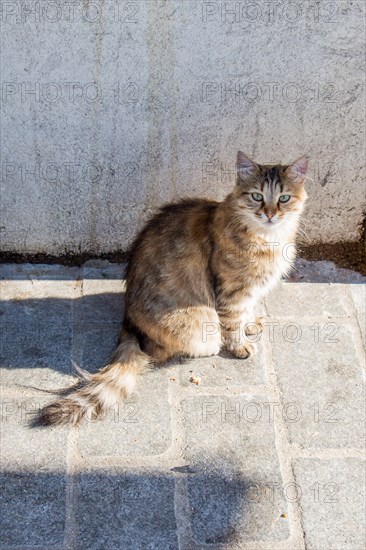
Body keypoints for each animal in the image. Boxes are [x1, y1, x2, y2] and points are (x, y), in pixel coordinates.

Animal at [35, 153, 308, 430]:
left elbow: (249, 310)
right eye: (256, 196)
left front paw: (251, 324)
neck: (270, 238)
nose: (270, 214)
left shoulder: (252, 289)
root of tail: (129, 320)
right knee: (163, 350)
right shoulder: (232, 291)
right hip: (199, 324)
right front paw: (239, 345)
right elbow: (233, 322)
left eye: (284, 198)